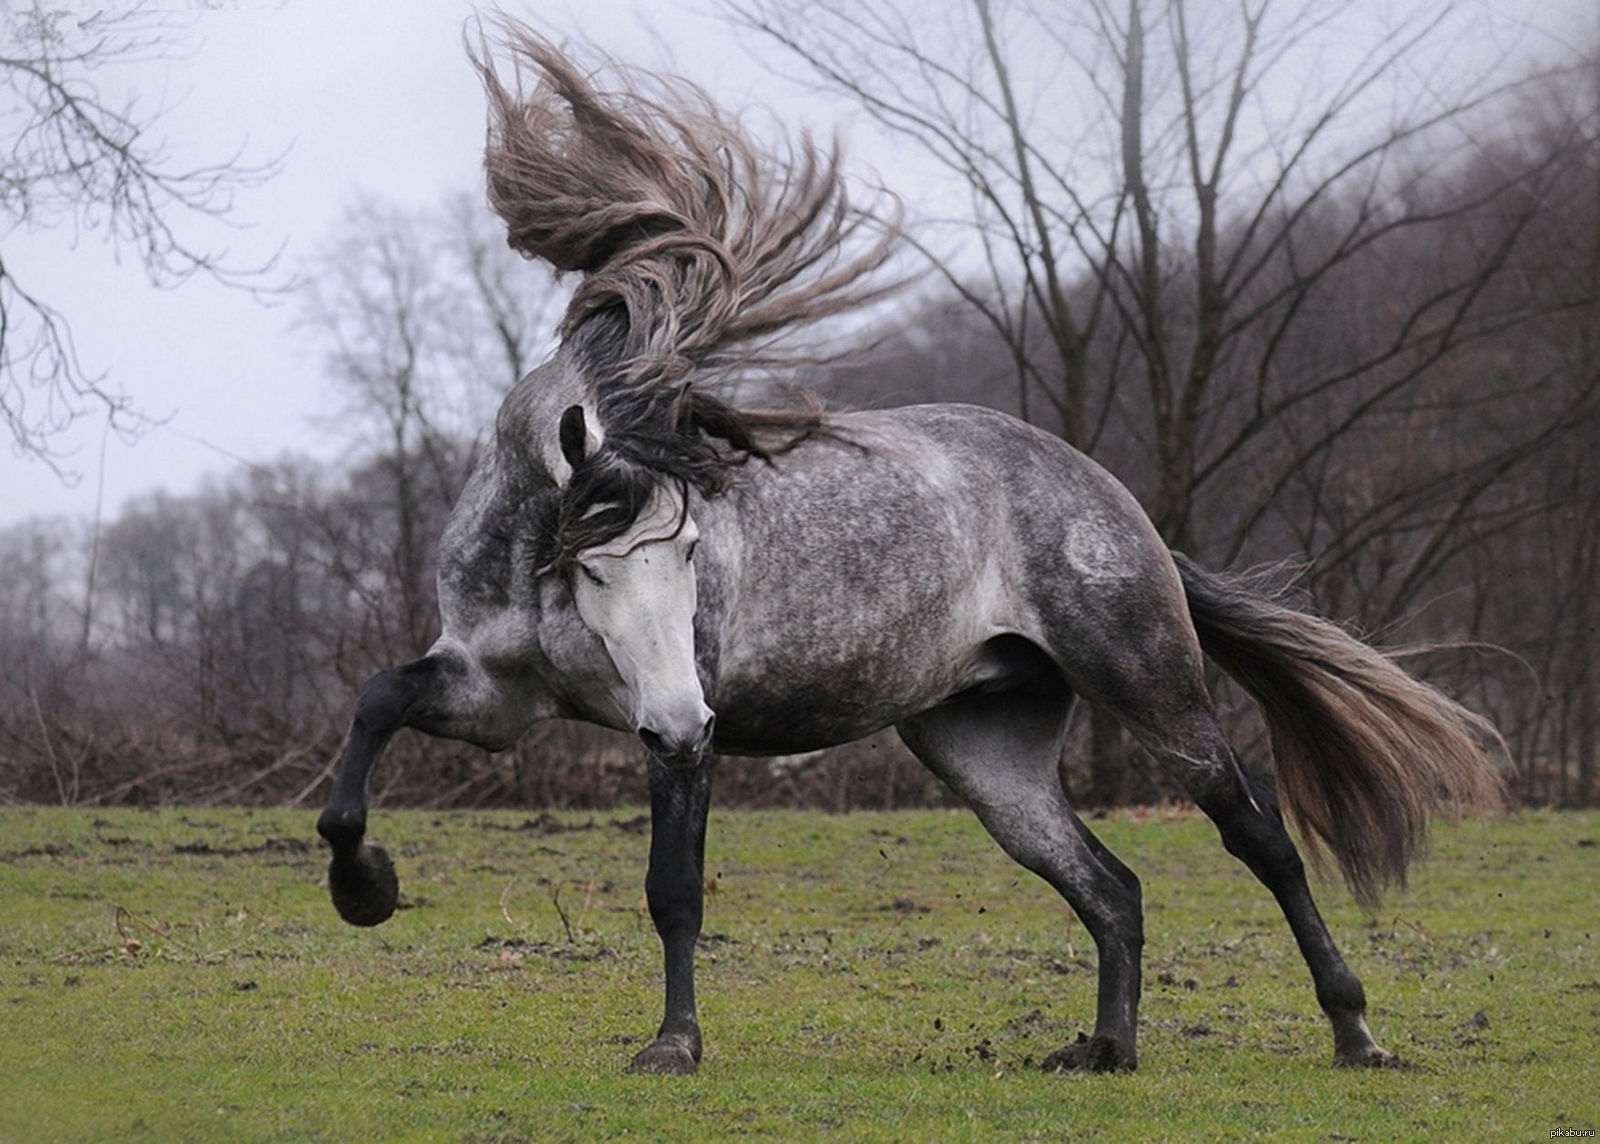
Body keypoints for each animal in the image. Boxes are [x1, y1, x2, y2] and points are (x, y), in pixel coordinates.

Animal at [312, 29, 1497, 1081]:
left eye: (692, 552)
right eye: (592, 567)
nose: (682, 716)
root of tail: (1111, 498)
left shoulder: (675, 740)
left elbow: (674, 891)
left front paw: (673, 1045)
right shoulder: (492, 699)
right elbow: (374, 707)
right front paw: (363, 884)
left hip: (1155, 692)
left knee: (1262, 840)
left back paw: (1354, 1032)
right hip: (984, 752)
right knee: (1110, 888)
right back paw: (1105, 1050)